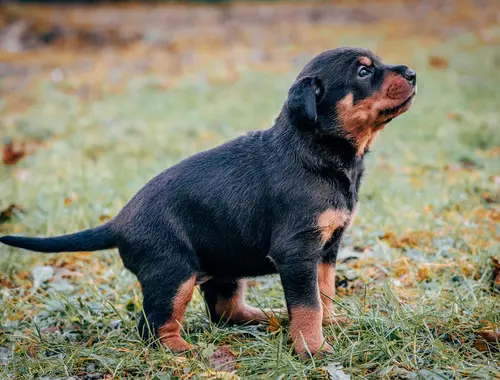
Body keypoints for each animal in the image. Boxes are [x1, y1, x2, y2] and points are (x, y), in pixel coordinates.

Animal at [0, 47, 418, 360]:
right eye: (363, 71)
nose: (413, 73)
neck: (318, 151)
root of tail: (118, 222)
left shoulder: (326, 249)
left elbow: (323, 293)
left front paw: (331, 325)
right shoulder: (297, 251)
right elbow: (307, 305)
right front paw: (313, 349)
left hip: (223, 266)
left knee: (225, 312)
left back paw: (269, 318)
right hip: (173, 272)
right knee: (153, 326)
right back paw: (185, 350)